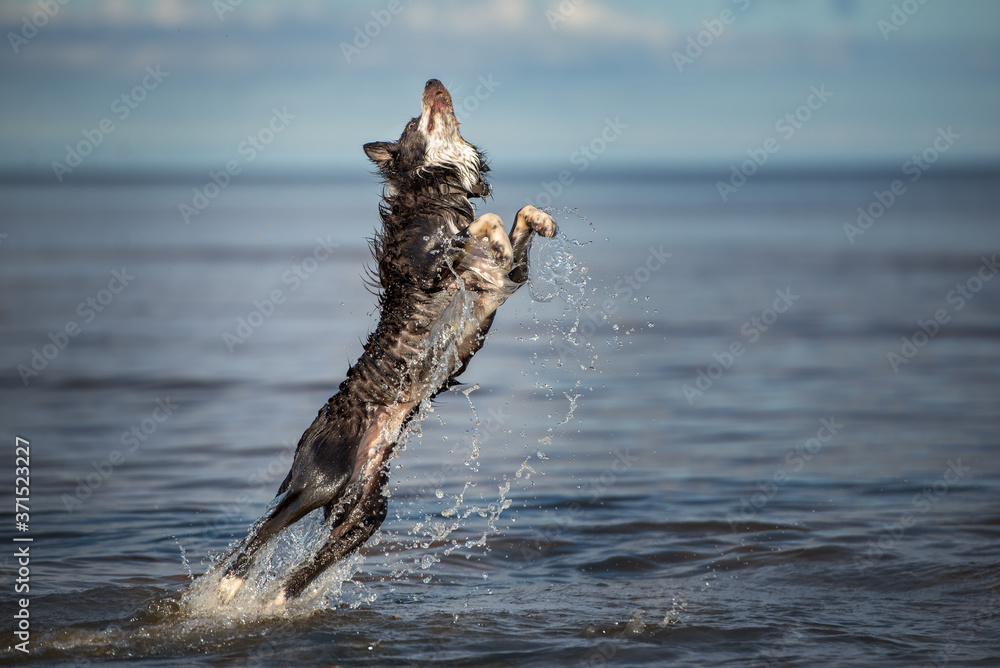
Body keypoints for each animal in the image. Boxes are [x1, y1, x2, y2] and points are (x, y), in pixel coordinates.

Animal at [217, 78, 556, 604]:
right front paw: (488, 231)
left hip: (366, 510)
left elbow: (517, 216)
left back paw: (277, 598)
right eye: (414, 122)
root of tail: (307, 442)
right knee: (259, 533)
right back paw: (230, 585)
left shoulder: (504, 283)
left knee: (305, 566)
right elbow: (485, 224)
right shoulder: (432, 270)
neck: (436, 193)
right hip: (319, 480)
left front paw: (542, 221)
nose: (433, 83)